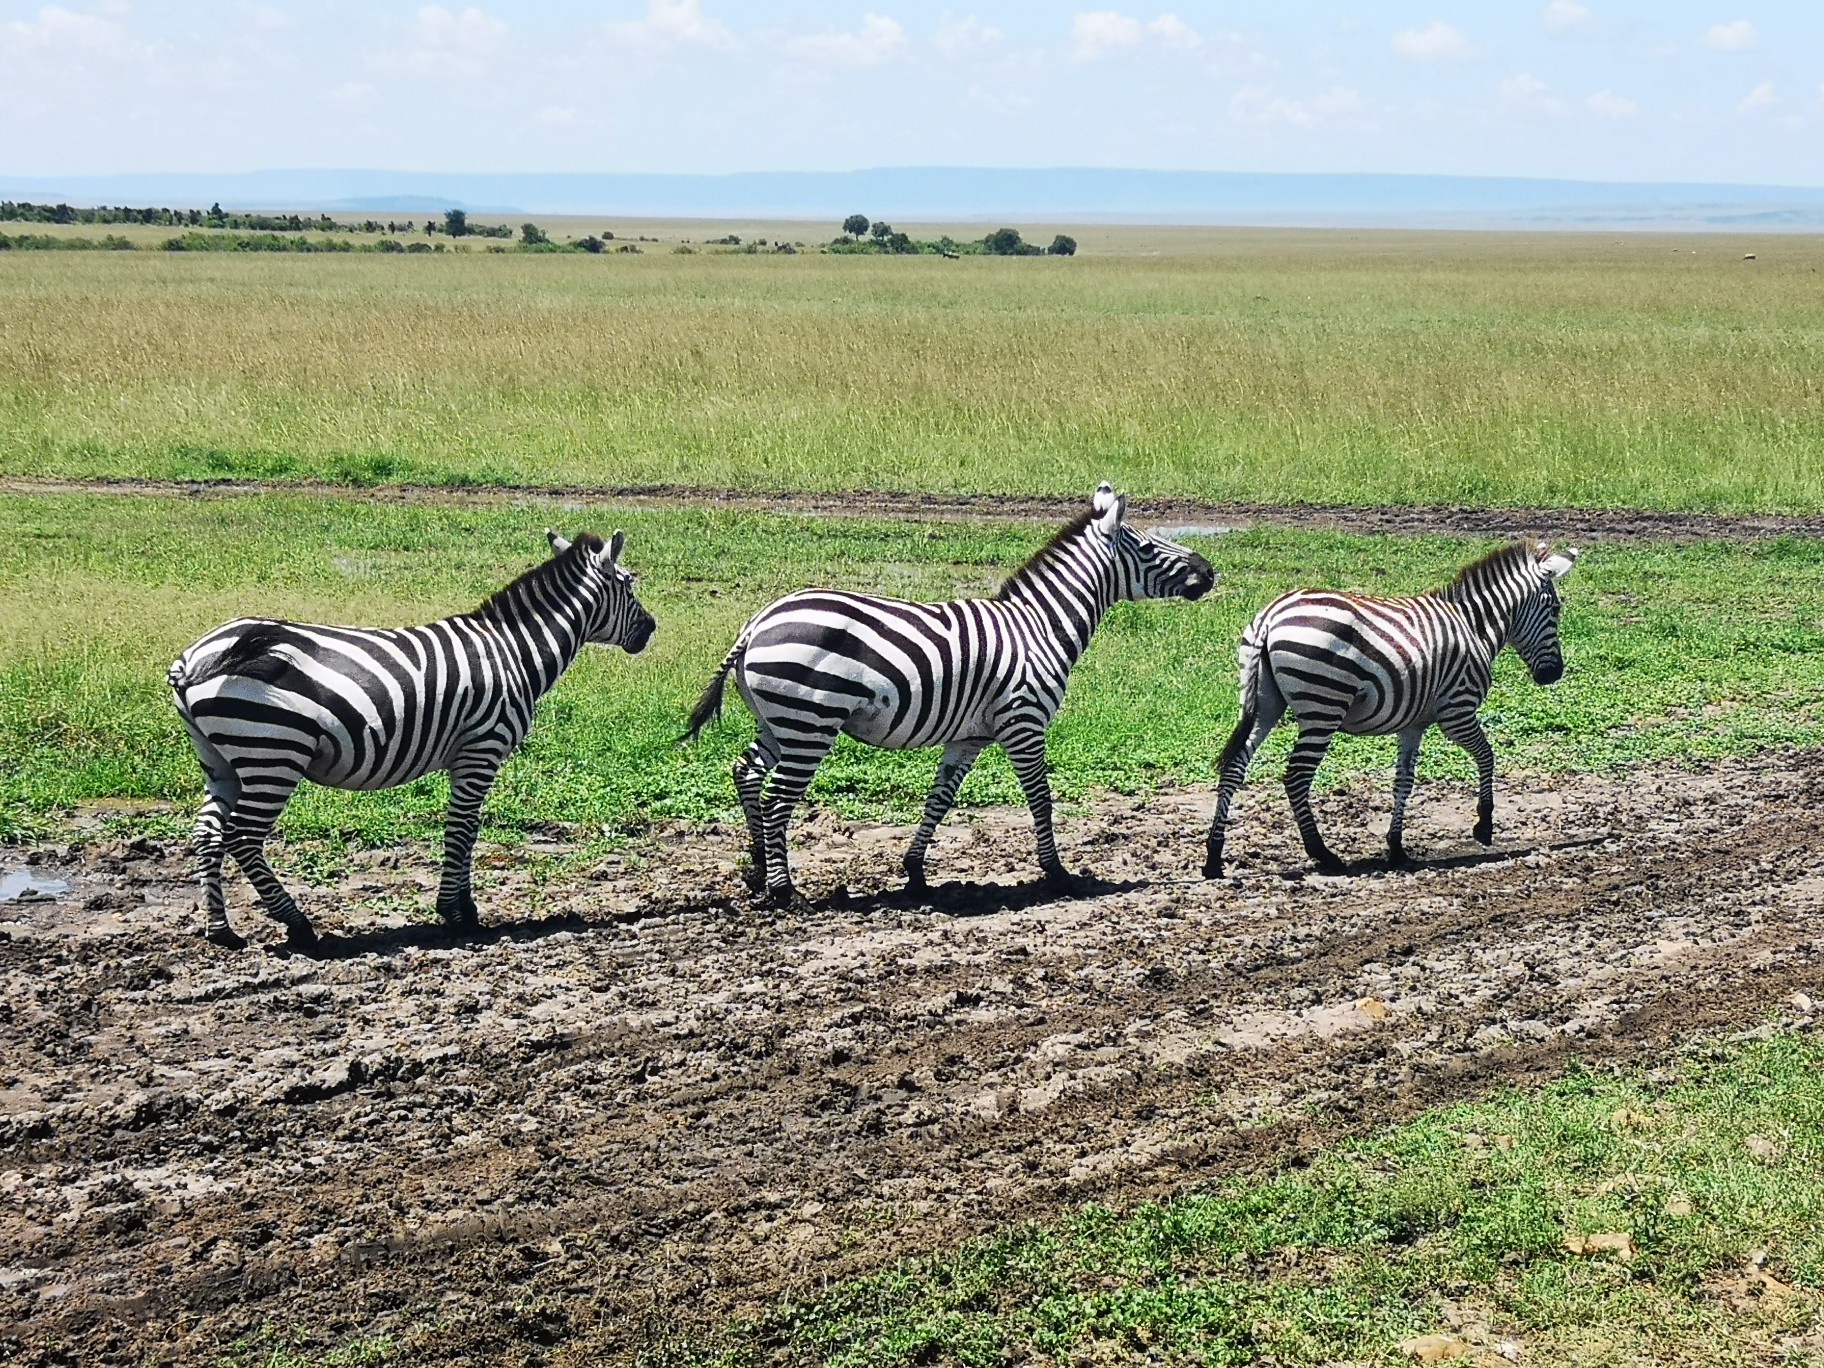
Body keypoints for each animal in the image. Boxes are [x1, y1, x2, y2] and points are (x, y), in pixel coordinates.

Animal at [169, 532, 656, 955]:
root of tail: (194, 657)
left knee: (208, 832)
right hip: (273, 754)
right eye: (630, 584)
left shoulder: (469, 756)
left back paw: (221, 931)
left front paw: (462, 908)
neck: (514, 652)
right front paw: (458, 914)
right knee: (242, 836)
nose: (651, 629)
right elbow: (463, 828)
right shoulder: (481, 749)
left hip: (222, 760)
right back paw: (298, 924)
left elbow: (466, 829)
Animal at [685, 485, 1211, 912]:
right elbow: (1041, 799)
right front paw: (1058, 875)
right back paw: (785, 892)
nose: (1209, 571)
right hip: (812, 722)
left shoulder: (970, 737)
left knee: (746, 773)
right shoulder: (1024, 723)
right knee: (777, 797)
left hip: (780, 722)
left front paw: (915, 873)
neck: (1039, 627)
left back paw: (757, 872)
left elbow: (939, 799)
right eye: (1148, 547)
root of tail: (756, 623)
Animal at [1203, 539, 1575, 882]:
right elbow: (1487, 756)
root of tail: (1270, 616)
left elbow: (1403, 781)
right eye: (1555, 609)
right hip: (1323, 707)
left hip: (1265, 704)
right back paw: (1323, 854)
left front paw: (1396, 848)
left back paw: (1214, 857)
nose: (1553, 674)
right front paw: (1484, 826)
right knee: (1296, 777)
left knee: (1235, 767)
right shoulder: (1457, 711)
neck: (1473, 626)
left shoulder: (1414, 724)